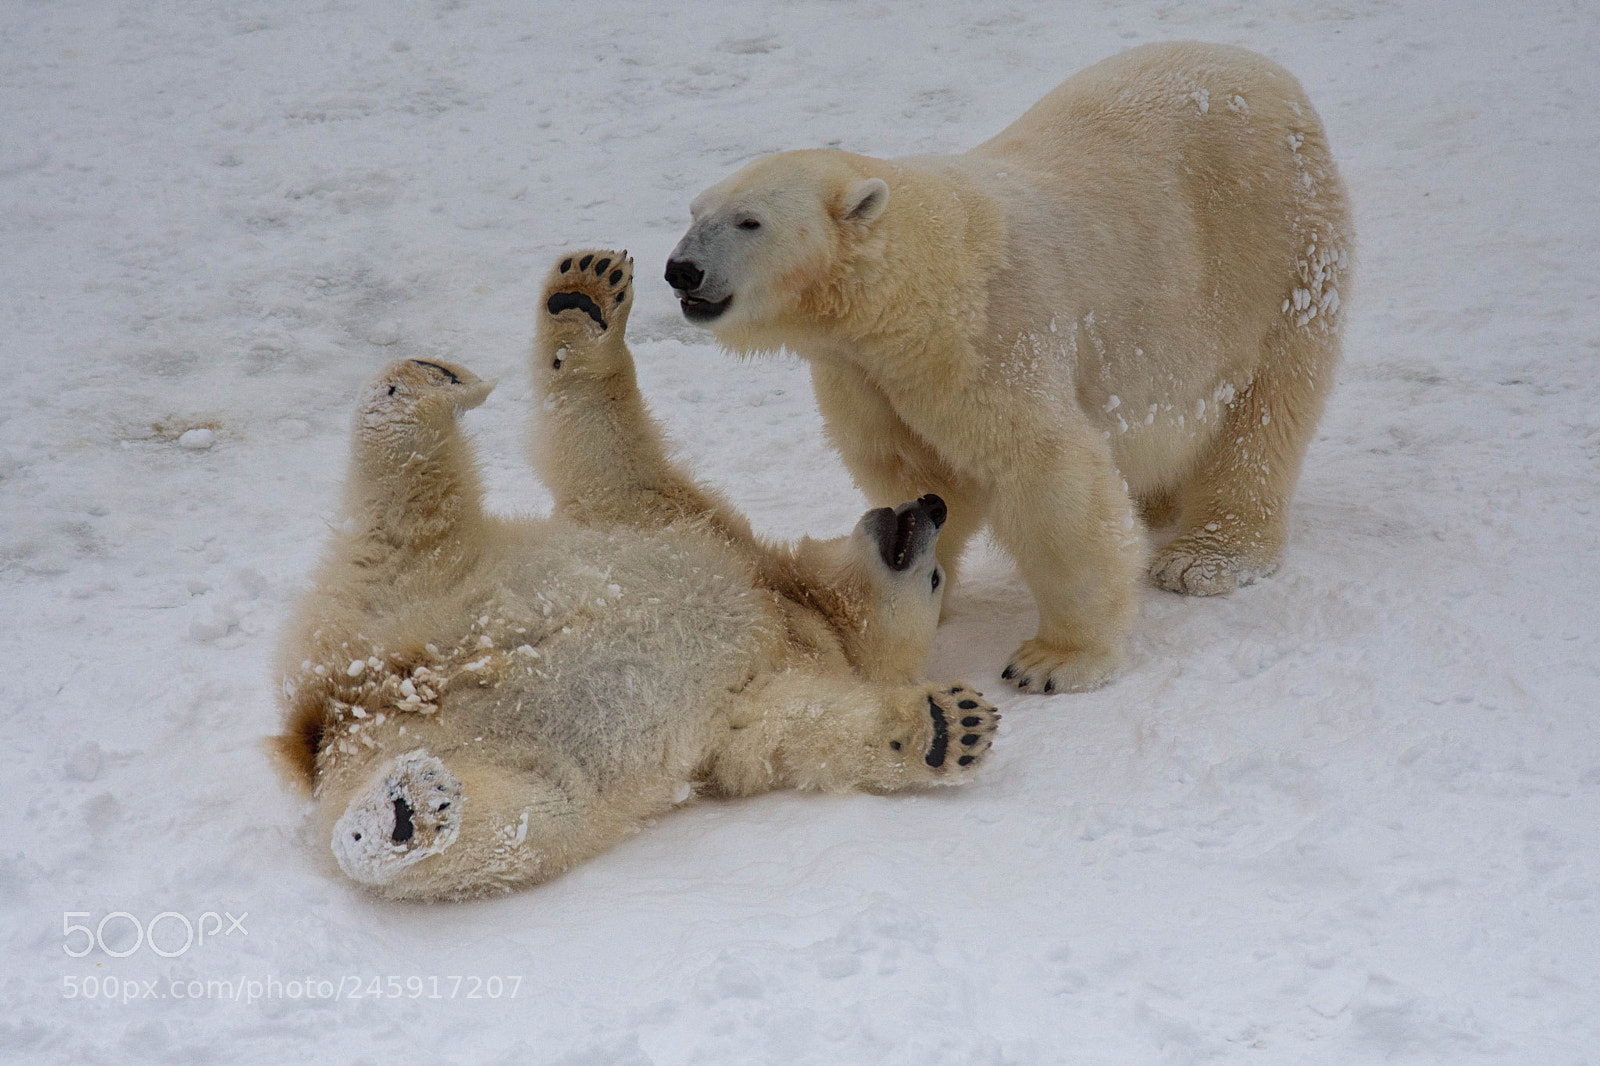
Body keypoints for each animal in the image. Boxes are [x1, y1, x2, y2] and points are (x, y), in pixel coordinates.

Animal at [271, 250, 999, 901]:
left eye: (936, 580)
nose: (931, 503)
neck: (793, 602)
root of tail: (339, 713)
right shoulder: (697, 527)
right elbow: (616, 463)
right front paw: (586, 301)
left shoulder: (764, 683)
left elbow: (799, 729)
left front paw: (949, 726)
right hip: (420, 591)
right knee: (416, 500)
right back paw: (433, 378)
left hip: (454, 691)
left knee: (515, 824)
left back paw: (401, 816)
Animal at [664, 41, 1352, 694]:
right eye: (694, 212)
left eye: (750, 221)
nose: (681, 270)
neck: (916, 283)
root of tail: (1271, 75)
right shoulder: (865, 373)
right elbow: (910, 465)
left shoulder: (989, 340)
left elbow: (1046, 474)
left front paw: (1054, 660)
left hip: (1275, 258)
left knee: (1264, 414)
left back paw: (1204, 557)